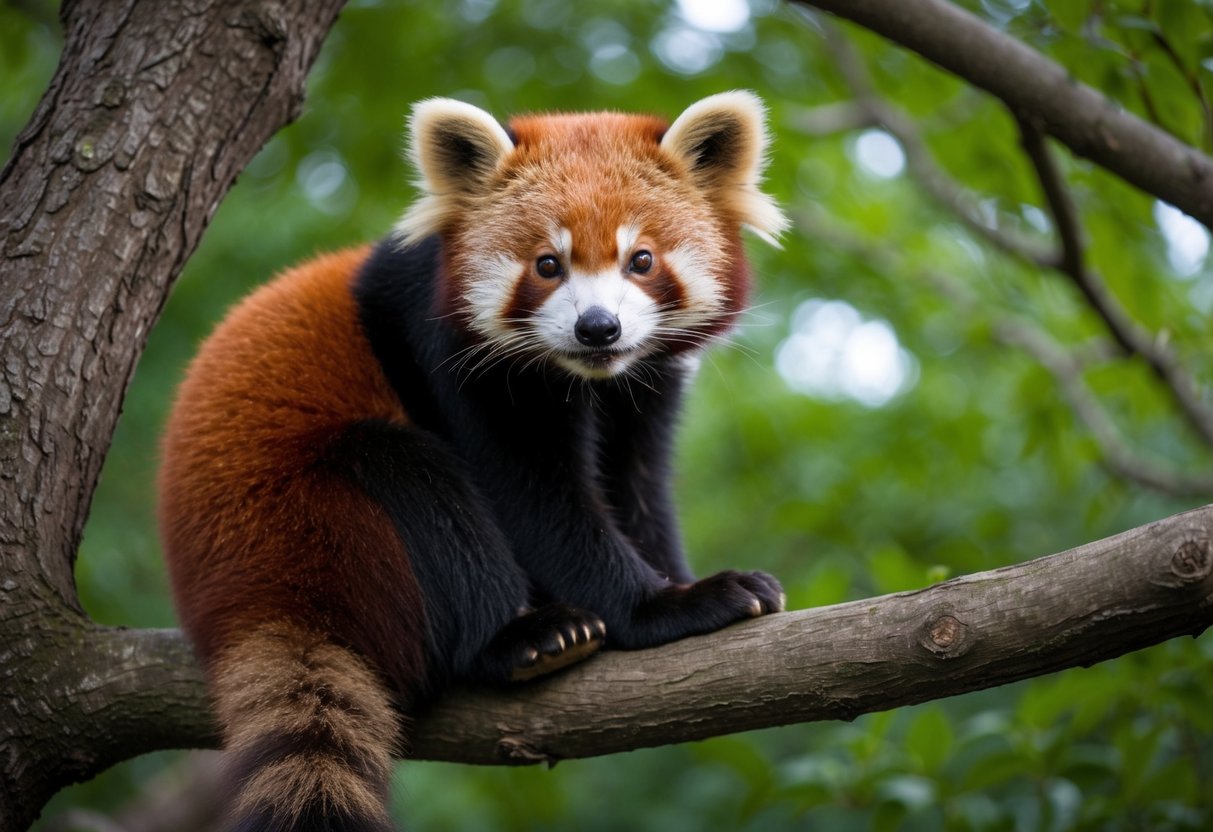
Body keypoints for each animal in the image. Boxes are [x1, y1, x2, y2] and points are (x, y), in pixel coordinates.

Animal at [158, 91, 788, 831]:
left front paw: (678, 581)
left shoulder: (641, 390)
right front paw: (666, 605)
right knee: (413, 481)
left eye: (641, 260)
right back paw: (522, 639)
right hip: (317, 524)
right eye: (547, 265)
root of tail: (245, 604)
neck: (584, 377)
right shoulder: (455, 362)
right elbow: (535, 501)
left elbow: (635, 486)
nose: (597, 328)